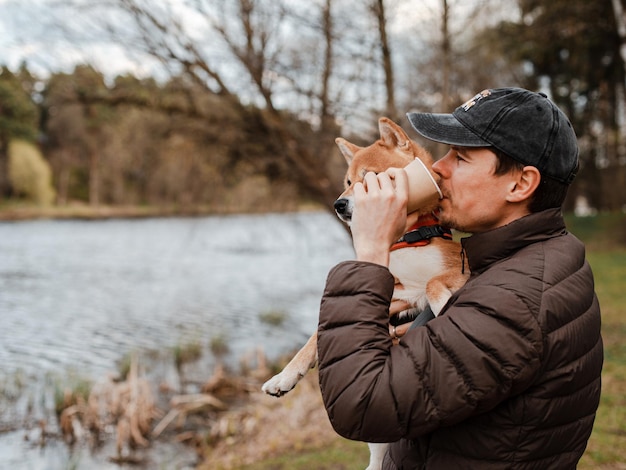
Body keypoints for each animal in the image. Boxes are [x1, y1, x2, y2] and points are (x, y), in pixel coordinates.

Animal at [260, 117, 466, 470]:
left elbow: (432, 284)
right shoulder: (386, 293)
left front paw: (444, 306)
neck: (406, 239)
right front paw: (284, 377)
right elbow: (314, 337)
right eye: (347, 182)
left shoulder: (458, 268)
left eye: (369, 178)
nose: (338, 204)